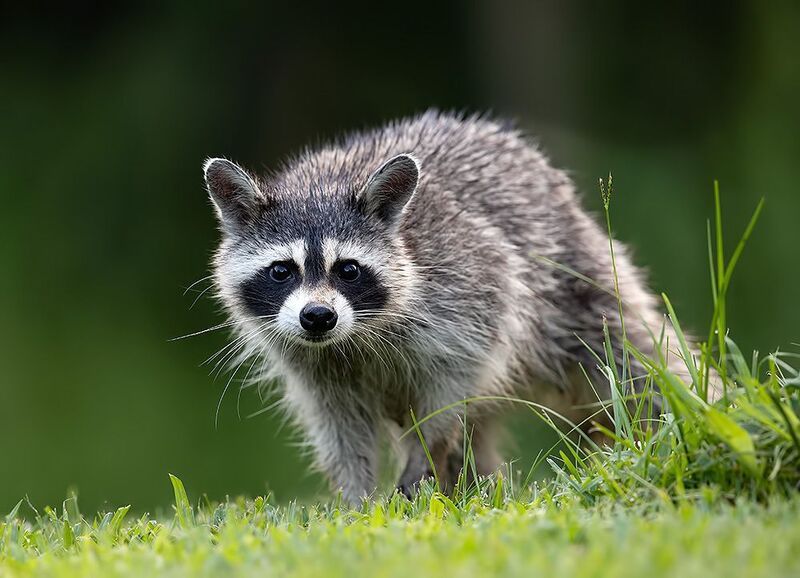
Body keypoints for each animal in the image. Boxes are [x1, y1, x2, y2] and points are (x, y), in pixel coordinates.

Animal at [204, 111, 684, 504]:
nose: (318, 317)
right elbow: (339, 428)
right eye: (281, 271)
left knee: (634, 361)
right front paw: (356, 500)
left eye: (349, 270)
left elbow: (453, 385)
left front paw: (424, 453)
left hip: (577, 276)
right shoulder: (312, 364)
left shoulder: (469, 288)